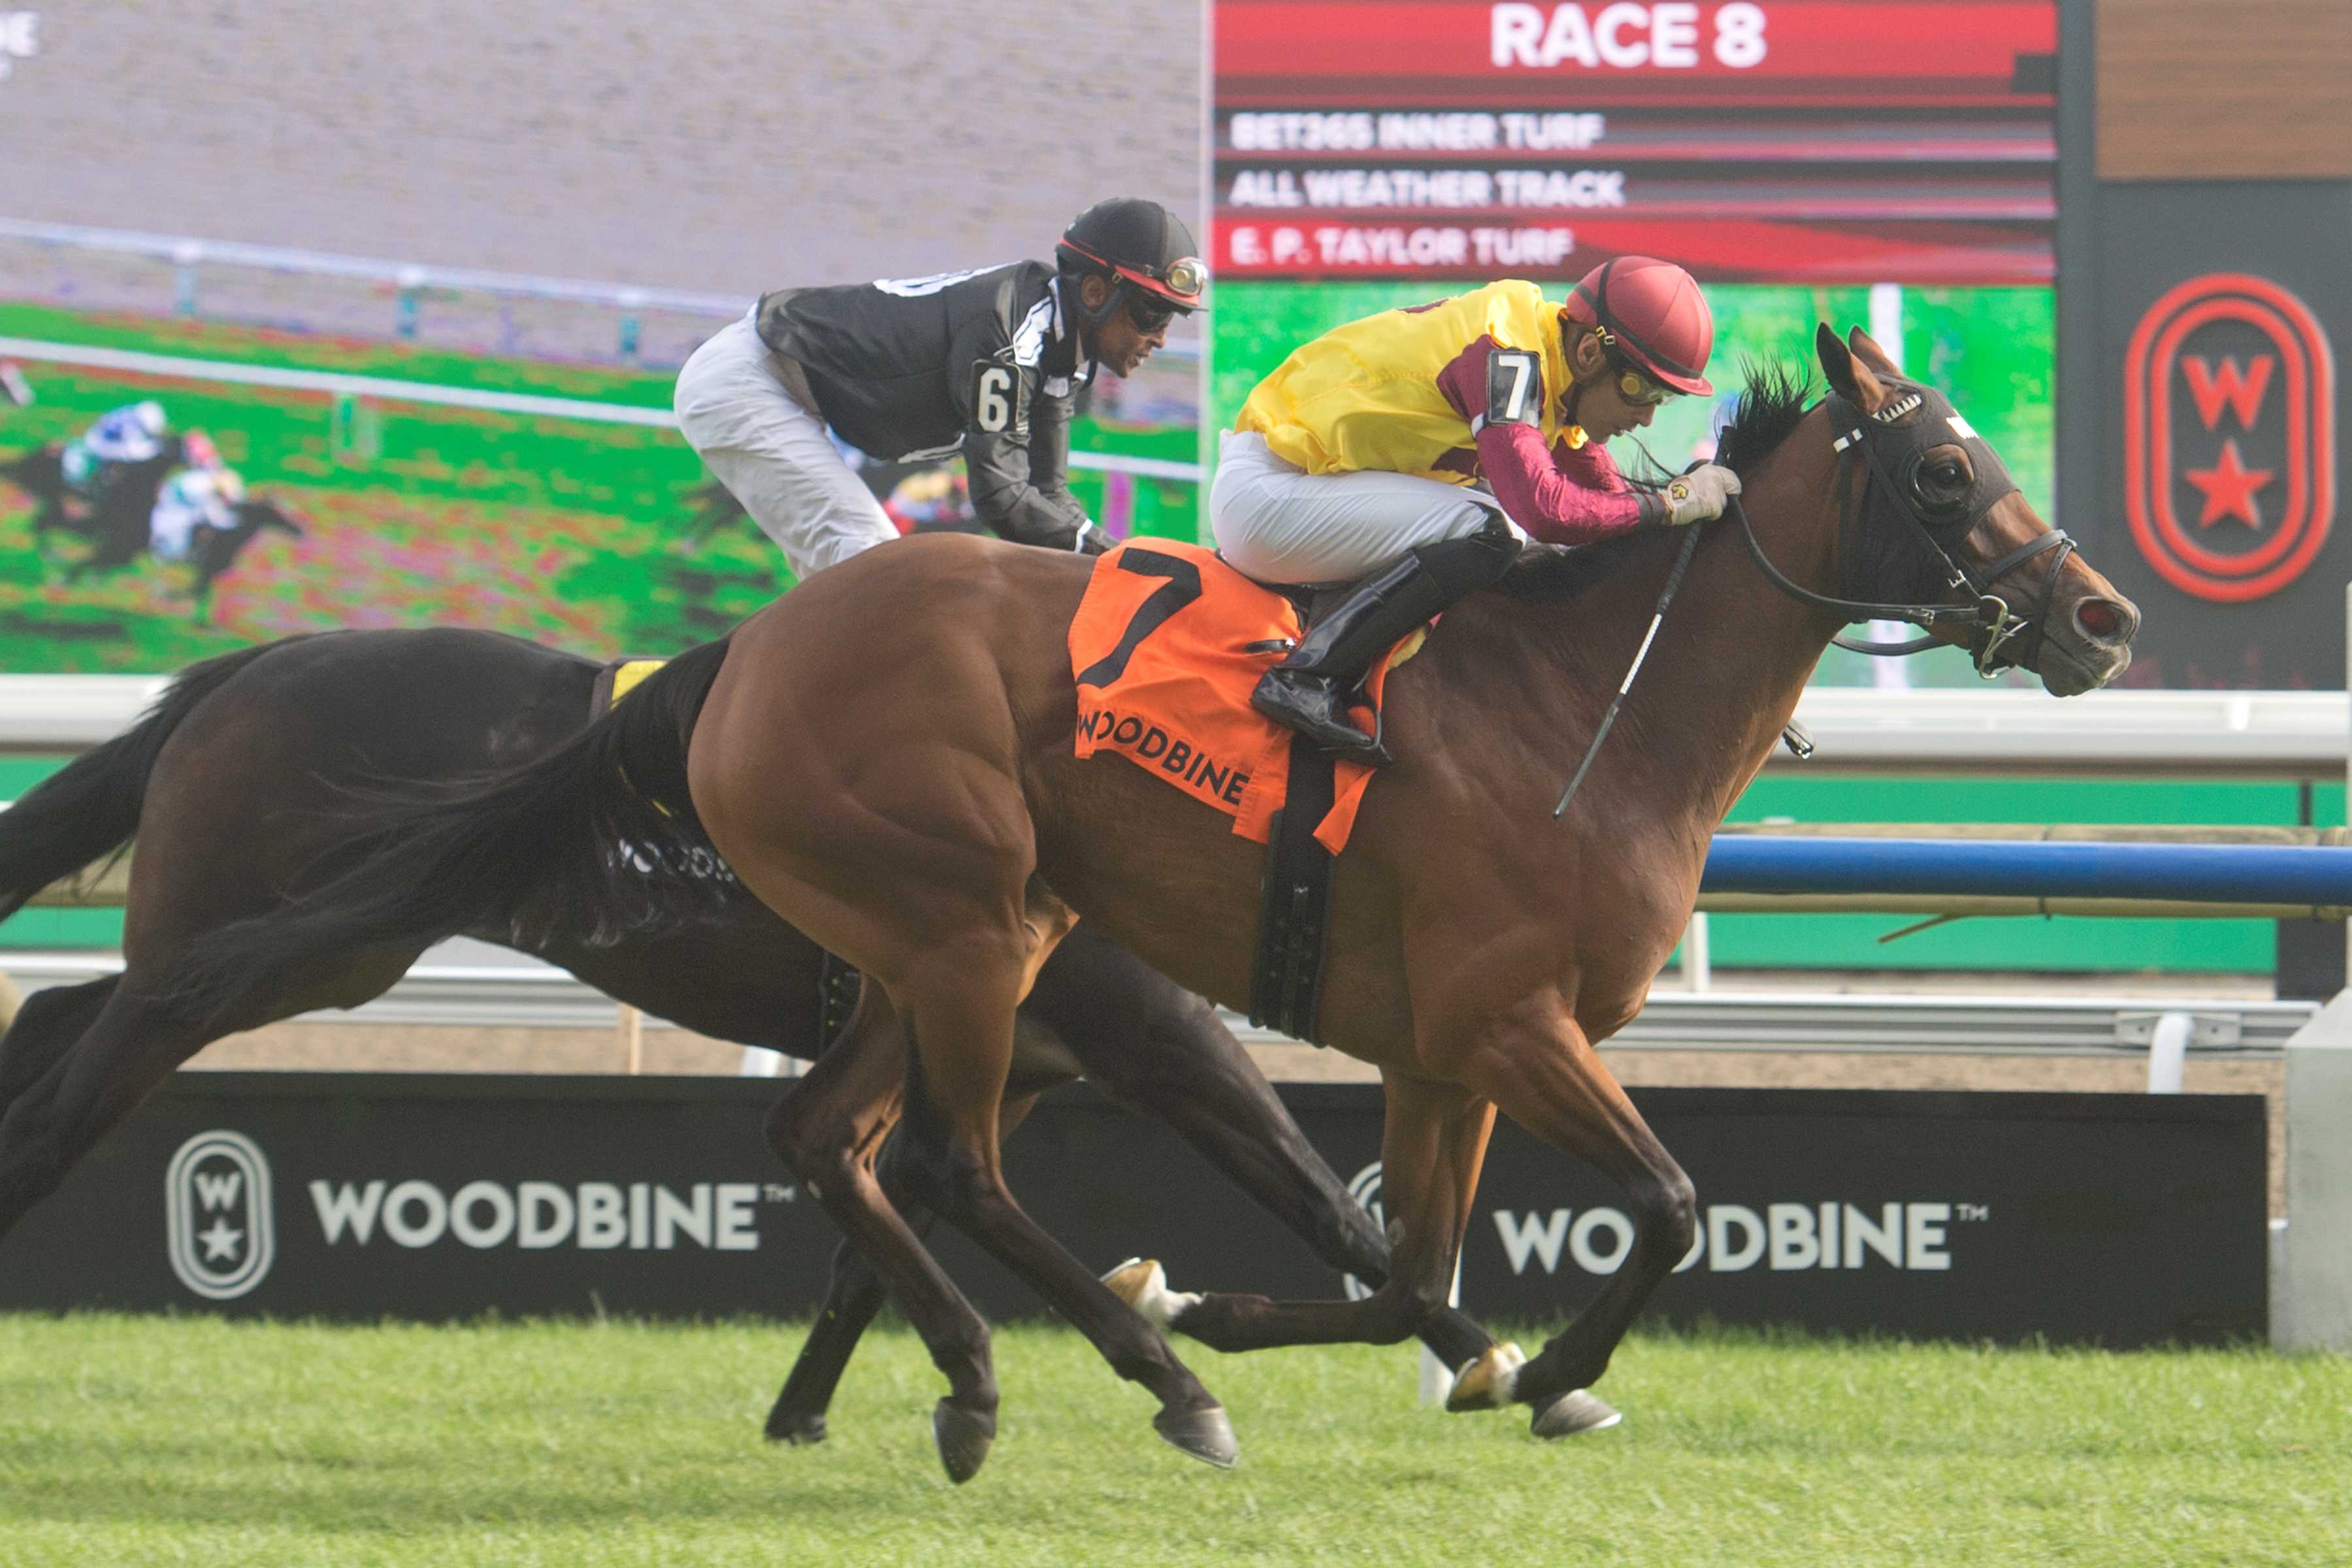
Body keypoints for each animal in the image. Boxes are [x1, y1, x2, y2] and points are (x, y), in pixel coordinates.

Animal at [0, 625, 1495, 1448]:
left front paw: (817, 1410)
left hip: (310, 942)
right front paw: (1500, 1362)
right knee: (99, 1062)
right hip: (287, 938)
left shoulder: (1006, 1052)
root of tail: (252, 667)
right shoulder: (1152, 1032)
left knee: (63, 1011)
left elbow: (873, 1235)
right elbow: (1333, 1205)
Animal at [171, 324, 2154, 1476]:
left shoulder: (1446, 1054)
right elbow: (1658, 1206)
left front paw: (1333, 1330)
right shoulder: (1511, 1019)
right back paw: (1125, 1377)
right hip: (968, 921)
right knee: (949, 1158)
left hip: (951, 935)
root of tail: (743, 653)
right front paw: (1514, 1363)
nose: (2104, 615)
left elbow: (1396, 1263)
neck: (1587, 704)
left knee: (843, 1142)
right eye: (1944, 469)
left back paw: (1033, 1365)